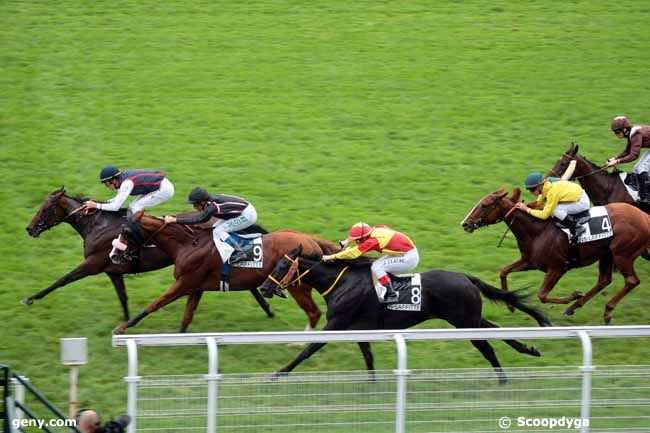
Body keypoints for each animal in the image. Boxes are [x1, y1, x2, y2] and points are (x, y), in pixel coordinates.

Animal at [24, 186, 274, 324]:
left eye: (45, 209)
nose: (30, 228)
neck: (97, 225)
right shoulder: (112, 270)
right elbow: (123, 297)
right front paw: (126, 322)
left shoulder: (93, 264)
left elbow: (62, 280)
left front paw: (30, 298)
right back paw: (268, 310)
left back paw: (267, 309)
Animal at [108, 211, 336, 332]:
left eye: (125, 232)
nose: (113, 255)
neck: (188, 244)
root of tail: (311, 239)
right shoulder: (196, 287)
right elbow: (187, 317)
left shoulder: (185, 283)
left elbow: (154, 304)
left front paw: (122, 327)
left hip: (298, 286)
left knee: (314, 312)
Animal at [258, 245, 548, 384]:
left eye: (281, 265)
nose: (263, 287)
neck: (342, 283)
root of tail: (466, 277)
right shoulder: (355, 327)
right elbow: (368, 356)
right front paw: (372, 384)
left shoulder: (336, 324)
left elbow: (308, 349)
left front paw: (278, 374)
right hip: (470, 318)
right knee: (495, 329)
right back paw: (529, 350)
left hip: (464, 321)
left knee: (486, 347)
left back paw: (502, 378)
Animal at [458, 187, 648, 322]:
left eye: (484, 205)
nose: (465, 223)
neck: (537, 231)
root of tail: (645, 217)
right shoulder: (530, 262)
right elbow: (504, 271)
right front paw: (510, 304)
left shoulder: (558, 267)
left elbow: (542, 295)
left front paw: (573, 295)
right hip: (607, 254)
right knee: (604, 280)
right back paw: (574, 307)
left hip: (622, 254)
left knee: (631, 281)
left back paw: (606, 310)